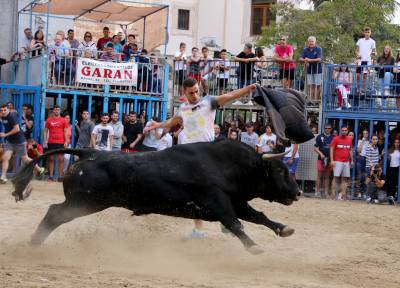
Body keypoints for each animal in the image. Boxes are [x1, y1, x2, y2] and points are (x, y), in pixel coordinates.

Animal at [12, 140, 300, 254]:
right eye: (280, 170)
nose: (297, 192)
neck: (227, 164)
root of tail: (88, 153)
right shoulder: (217, 202)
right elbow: (235, 223)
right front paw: (254, 247)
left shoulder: (236, 202)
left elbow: (258, 216)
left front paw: (283, 228)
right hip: (84, 203)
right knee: (54, 213)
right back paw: (34, 242)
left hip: (84, 203)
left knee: (54, 213)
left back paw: (34, 242)